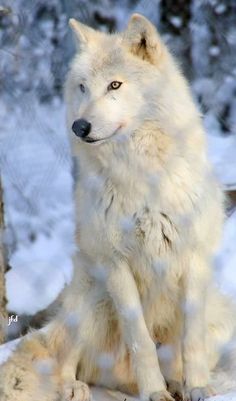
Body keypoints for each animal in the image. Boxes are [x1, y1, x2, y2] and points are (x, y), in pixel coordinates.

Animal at [0, 14, 236, 400]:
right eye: (83, 87)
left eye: (115, 85)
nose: (79, 126)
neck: (141, 173)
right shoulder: (115, 263)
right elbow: (140, 340)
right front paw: (154, 392)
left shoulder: (194, 256)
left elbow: (191, 340)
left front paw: (198, 387)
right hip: (95, 297)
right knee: (66, 360)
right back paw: (75, 388)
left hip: (221, 313)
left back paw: (177, 383)